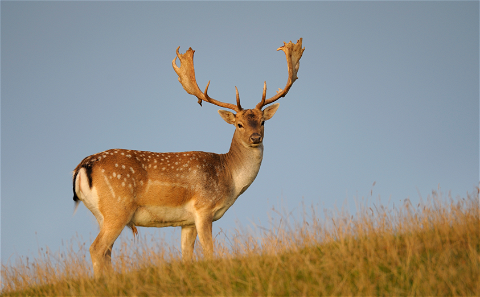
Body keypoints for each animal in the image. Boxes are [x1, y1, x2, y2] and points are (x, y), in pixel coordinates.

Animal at [72, 38, 304, 276]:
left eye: (262, 121)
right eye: (239, 124)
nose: (255, 137)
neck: (229, 177)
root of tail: (83, 166)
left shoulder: (187, 222)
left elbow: (186, 256)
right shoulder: (203, 209)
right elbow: (209, 251)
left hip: (101, 215)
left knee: (107, 252)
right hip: (117, 209)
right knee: (97, 248)